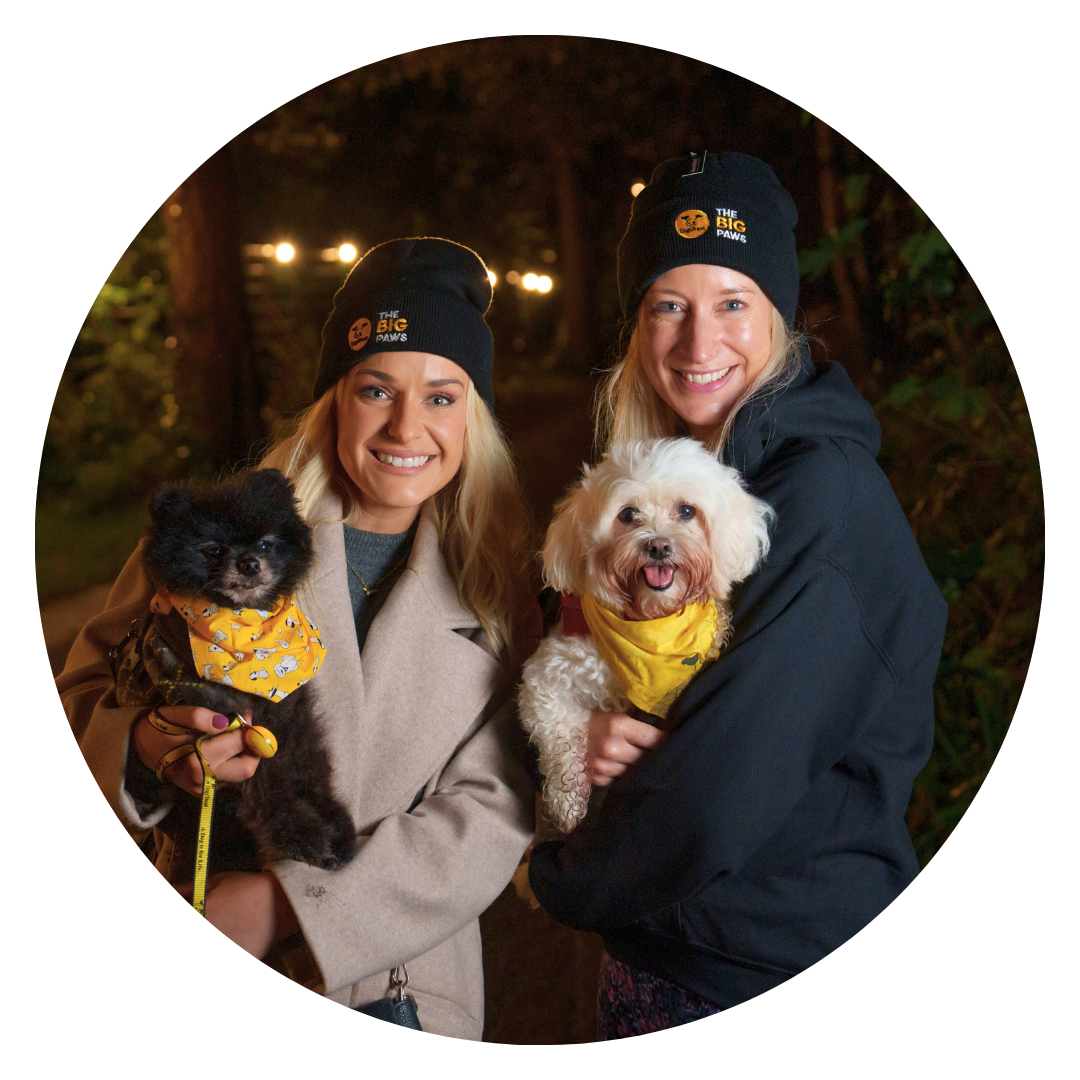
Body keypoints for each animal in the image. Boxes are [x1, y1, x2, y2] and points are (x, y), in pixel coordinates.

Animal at [122, 468, 358, 873]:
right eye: (214, 550)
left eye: (265, 545)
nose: (248, 563)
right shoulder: (235, 725)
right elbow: (270, 786)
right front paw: (304, 836)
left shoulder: (288, 714)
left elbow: (307, 765)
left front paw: (332, 818)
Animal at [518, 438, 774, 833]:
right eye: (627, 514)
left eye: (687, 510)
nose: (658, 546)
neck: (649, 620)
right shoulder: (545, 682)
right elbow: (560, 737)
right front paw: (567, 800)